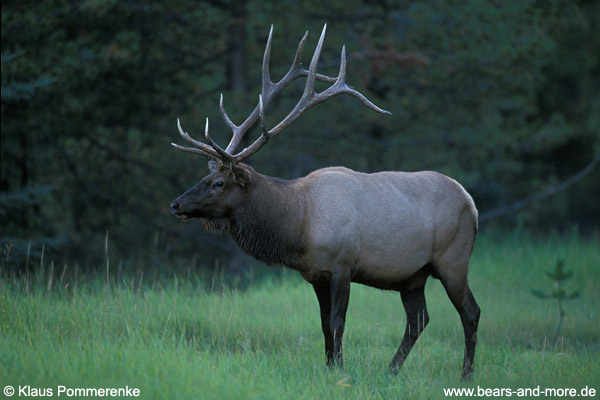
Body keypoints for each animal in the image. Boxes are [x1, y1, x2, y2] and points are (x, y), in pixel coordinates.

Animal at [171, 24, 480, 378]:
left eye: (218, 183)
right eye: (204, 178)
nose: (176, 204)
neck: (299, 225)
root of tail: (471, 203)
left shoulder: (342, 265)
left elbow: (337, 322)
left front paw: (340, 370)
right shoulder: (314, 274)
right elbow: (322, 325)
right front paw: (330, 366)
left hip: (453, 259)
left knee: (470, 312)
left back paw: (466, 373)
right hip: (412, 275)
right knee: (419, 319)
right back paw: (391, 369)